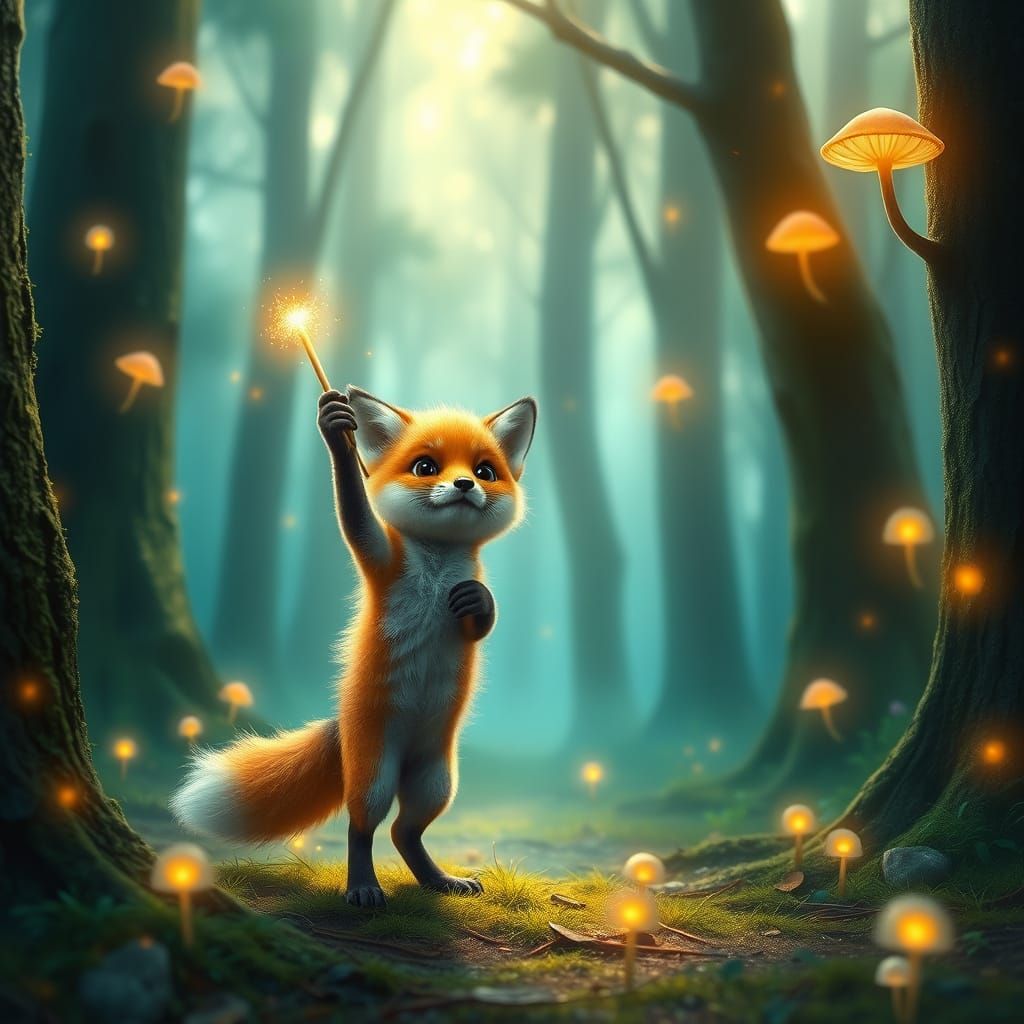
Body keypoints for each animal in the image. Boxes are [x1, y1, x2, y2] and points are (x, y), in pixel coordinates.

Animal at [171, 386, 537, 907]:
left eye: (485, 470)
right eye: (426, 466)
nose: (466, 484)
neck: (438, 561)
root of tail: (343, 725)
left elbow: (479, 623)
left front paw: (479, 601)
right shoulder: (382, 557)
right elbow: (355, 513)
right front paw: (336, 435)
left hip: (436, 780)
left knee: (405, 832)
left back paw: (438, 880)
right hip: (376, 774)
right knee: (361, 828)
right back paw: (362, 886)